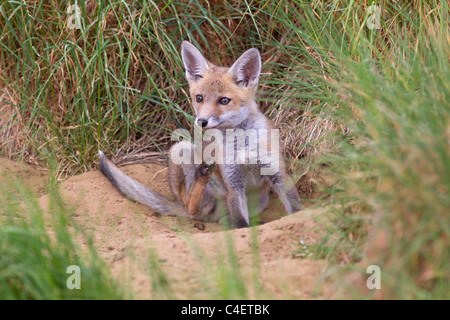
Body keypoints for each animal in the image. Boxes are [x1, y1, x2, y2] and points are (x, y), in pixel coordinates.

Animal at [99, 41, 302, 229]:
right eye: (199, 98)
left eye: (224, 100)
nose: (202, 121)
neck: (241, 144)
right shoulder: (233, 184)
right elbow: (240, 224)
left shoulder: (277, 173)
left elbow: (295, 209)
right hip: (181, 150)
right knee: (191, 207)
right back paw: (200, 179)